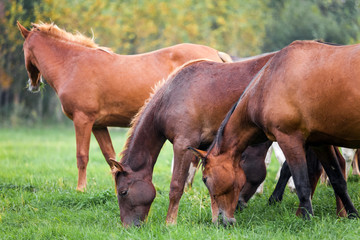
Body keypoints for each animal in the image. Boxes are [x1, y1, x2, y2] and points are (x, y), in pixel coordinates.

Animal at [16, 21, 231, 190]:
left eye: (24, 49)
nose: (32, 85)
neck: (72, 64)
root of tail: (215, 53)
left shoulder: (82, 119)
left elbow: (82, 156)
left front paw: (80, 189)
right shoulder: (98, 125)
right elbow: (109, 157)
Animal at [107, 52, 276, 227]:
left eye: (123, 192)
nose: (128, 227)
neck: (170, 96)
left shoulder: (183, 145)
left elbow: (176, 186)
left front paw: (170, 222)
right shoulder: (209, 150)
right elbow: (213, 186)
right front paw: (216, 219)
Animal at [193, 39, 360, 225]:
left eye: (205, 179)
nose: (220, 220)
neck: (268, 82)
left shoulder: (289, 139)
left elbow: (301, 182)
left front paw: (307, 219)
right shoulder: (320, 143)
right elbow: (338, 180)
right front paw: (353, 215)